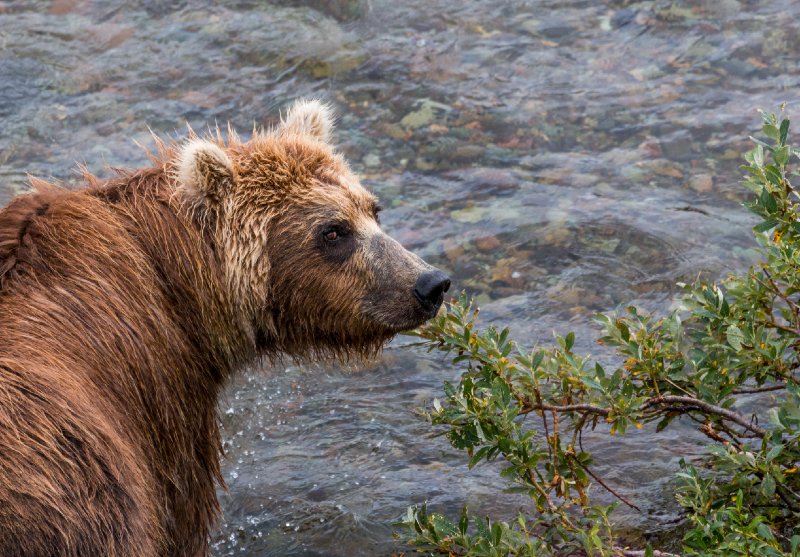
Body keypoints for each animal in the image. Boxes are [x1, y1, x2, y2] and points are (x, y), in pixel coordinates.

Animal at [0, 101, 450, 556]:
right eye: (334, 231)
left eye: (373, 210)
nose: (430, 283)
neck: (179, 285)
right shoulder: (160, 403)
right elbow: (183, 511)